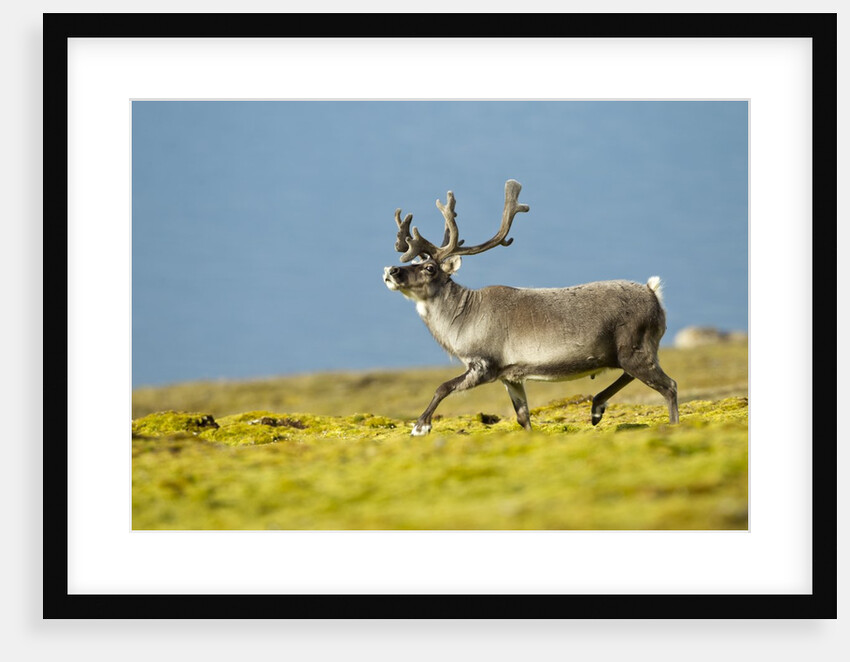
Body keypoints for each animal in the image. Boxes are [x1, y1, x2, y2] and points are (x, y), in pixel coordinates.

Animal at [382, 180, 679, 436]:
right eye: (414, 263)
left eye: (430, 268)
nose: (391, 270)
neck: (460, 319)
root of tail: (653, 292)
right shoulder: (511, 375)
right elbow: (523, 416)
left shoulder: (484, 365)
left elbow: (442, 387)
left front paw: (420, 426)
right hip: (627, 353)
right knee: (635, 377)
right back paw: (596, 408)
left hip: (634, 349)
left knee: (670, 386)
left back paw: (670, 424)